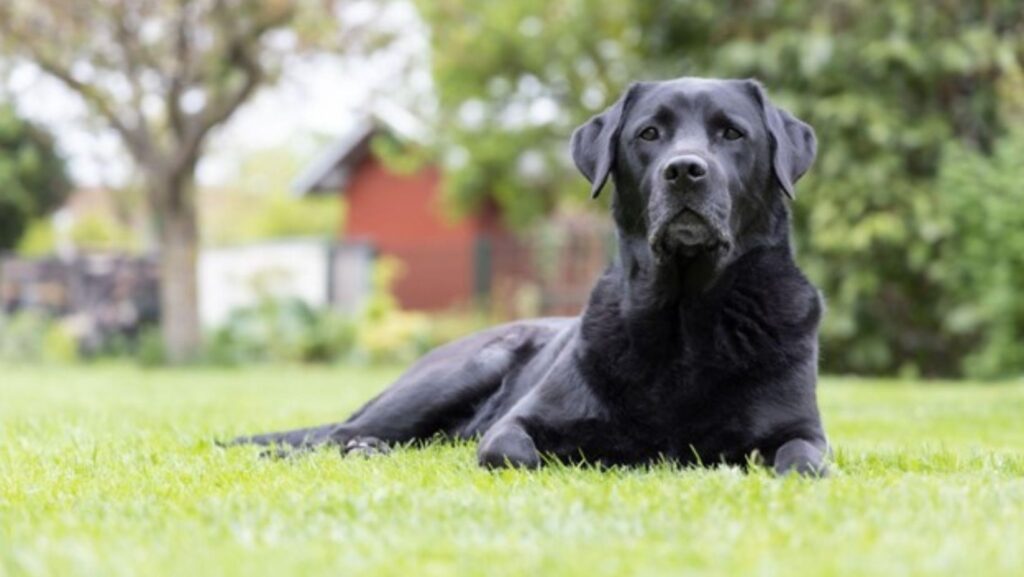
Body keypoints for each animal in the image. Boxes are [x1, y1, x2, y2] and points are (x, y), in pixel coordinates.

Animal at [235, 75, 827, 473]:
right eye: (649, 133)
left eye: (732, 134)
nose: (684, 170)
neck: (683, 317)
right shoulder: (515, 424)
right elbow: (513, 452)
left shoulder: (805, 433)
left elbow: (803, 462)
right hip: (463, 369)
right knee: (337, 434)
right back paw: (359, 447)